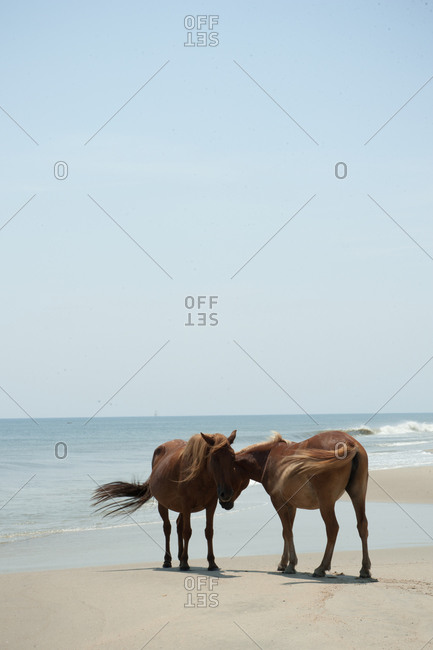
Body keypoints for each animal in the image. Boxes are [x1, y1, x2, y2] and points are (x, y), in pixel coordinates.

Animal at [92, 430, 249, 571]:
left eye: (232, 457)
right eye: (214, 458)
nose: (226, 493)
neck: (201, 477)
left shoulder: (211, 505)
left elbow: (208, 532)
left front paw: (211, 563)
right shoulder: (186, 505)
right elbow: (187, 532)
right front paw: (185, 563)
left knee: (178, 525)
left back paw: (180, 557)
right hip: (163, 505)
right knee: (167, 528)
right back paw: (168, 560)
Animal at [235, 430, 371, 578]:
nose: (225, 498)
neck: (268, 458)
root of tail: (349, 442)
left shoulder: (278, 502)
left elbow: (288, 532)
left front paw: (291, 565)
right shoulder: (291, 505)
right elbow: (286, 532)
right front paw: (284, 563)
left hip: (326, 503)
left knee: (332, 528)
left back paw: (321, 567)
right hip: (358, 495)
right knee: (362, 525)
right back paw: (365, 569)